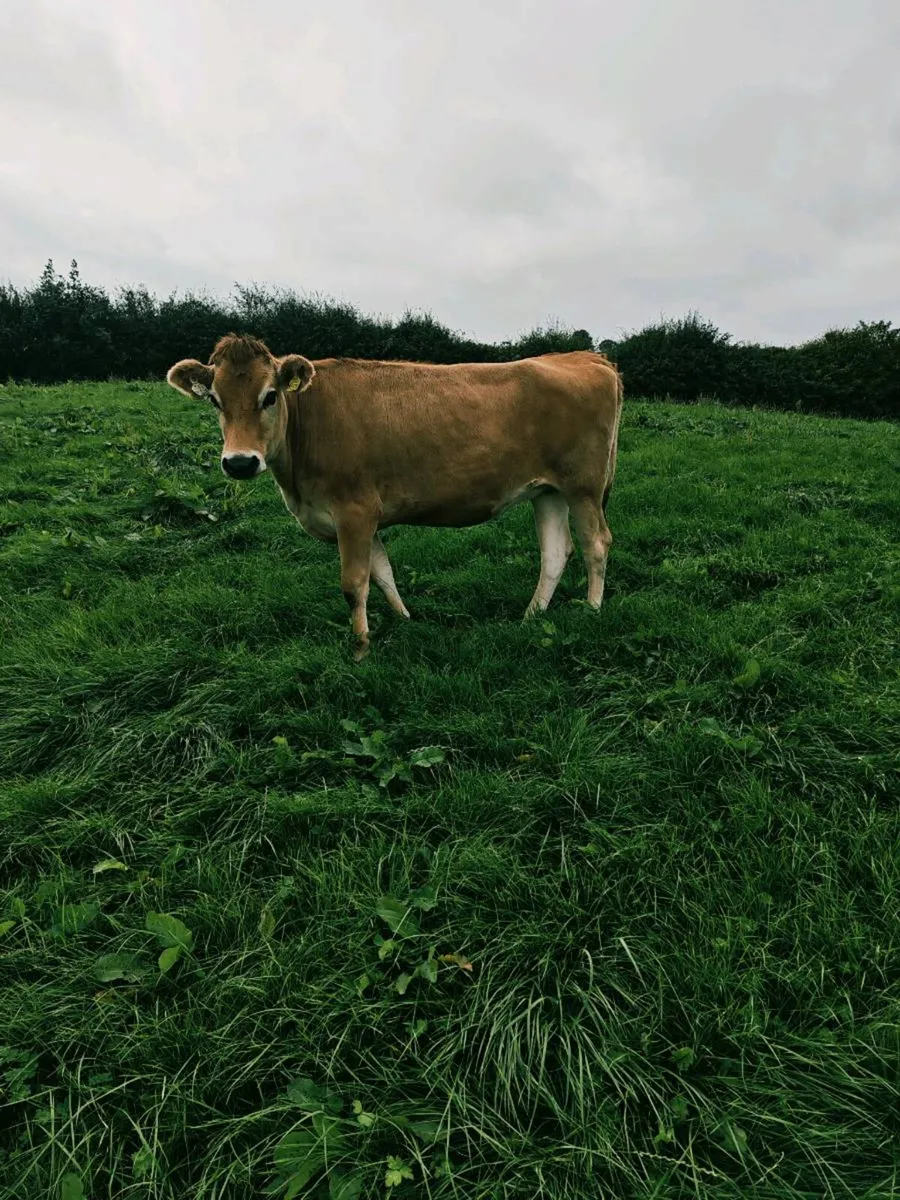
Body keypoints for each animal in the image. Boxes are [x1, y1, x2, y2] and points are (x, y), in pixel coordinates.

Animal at [166, 334, 623, 660]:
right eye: (215, 400)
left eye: (270, 396)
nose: (240, 462)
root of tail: (584, 357)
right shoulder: (367, 519)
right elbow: (382, 574)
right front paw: (405, 620)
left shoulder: (354, 512)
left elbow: (354, 584)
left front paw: (359, 650)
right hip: (548, 490)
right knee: (556, 551)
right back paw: (531, 616)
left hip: (583, 486)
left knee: (596, 543)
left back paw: (593, 610)